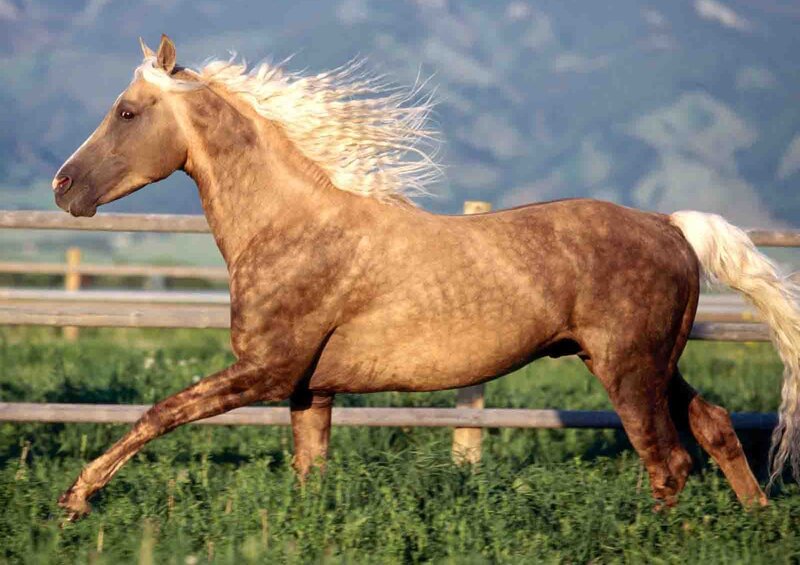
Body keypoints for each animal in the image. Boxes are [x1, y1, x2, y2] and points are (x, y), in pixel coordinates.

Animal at [52, 35, 800, 521]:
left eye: (126, 111)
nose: (62, 187)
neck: (288, 227)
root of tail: (668, 223)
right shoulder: (309, 388)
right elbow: (308, 473)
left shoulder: (265, 371)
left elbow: (159, 411)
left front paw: (76, 498)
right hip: (647, 363)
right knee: (715, 427)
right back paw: (759, 519)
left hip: (629, 370)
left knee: (668, 462)